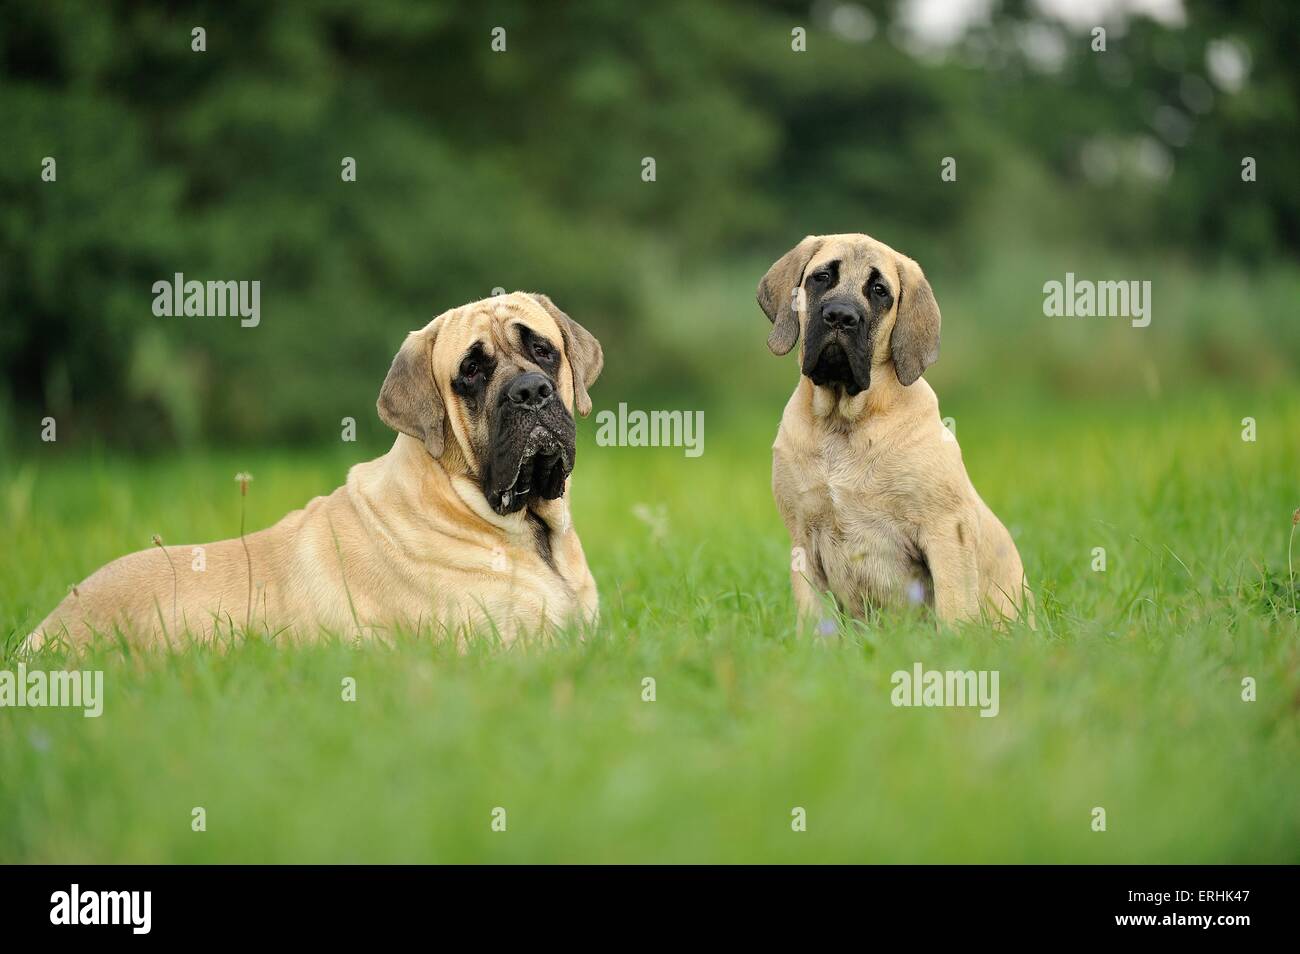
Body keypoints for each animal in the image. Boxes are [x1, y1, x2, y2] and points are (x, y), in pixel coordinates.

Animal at [759, 233, 1024, 631]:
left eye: (879, 290)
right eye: (822, 277)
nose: (841, 316)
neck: (844, 422)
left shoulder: (946, 530)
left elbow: (953, 608)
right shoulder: (803, 540)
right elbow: (814, 617)